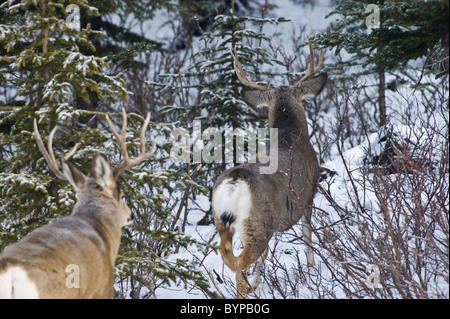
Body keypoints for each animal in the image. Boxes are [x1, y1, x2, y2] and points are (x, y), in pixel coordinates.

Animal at [211, 37, 326, 300]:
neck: (289, 134)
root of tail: (235, 181)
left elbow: (264, 259)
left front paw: (257, 283)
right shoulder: (308, 196)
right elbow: (308, 236)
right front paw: (312, 267)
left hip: (223, 220)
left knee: (227, 254)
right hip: (257, 225)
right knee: (240, 262)